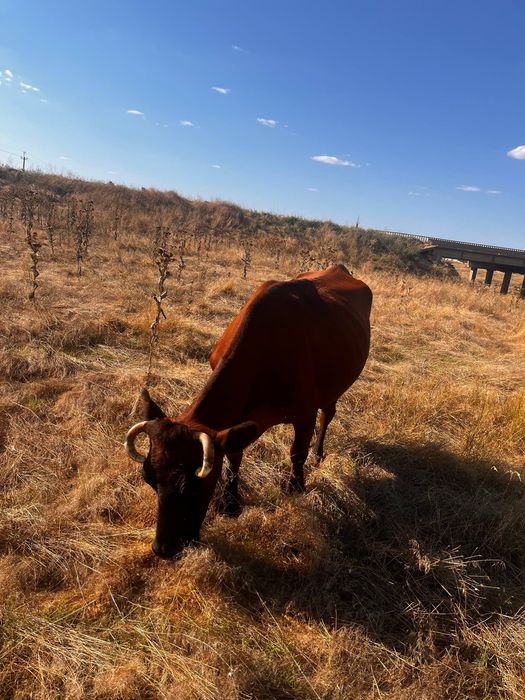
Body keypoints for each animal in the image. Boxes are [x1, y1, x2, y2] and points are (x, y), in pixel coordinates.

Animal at [125, 264, 372, 558]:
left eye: (193, 485)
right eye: (148, 478)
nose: (163, 549)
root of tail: (338, 268)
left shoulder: (305, 412)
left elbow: (296, 453)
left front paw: (296, 487)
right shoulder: (237, 420)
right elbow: (234, 455)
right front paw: (230, 503)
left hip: (334, 388)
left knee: (328, 415)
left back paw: (318, 454)